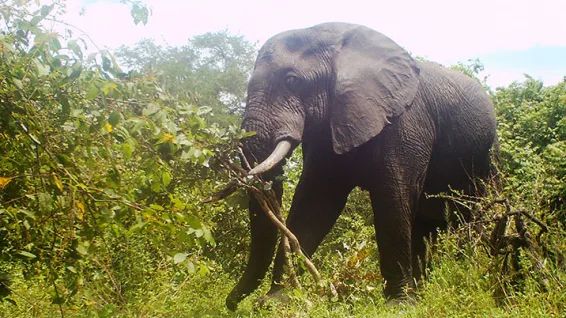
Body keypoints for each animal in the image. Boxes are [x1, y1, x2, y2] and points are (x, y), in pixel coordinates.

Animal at [225, 23, 496, 310]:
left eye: (292, 81)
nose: (231, 304)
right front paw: (277, 302)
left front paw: (399, 305)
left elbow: (393, 197)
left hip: (488, 159)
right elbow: (315, 202)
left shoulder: (407, 122)